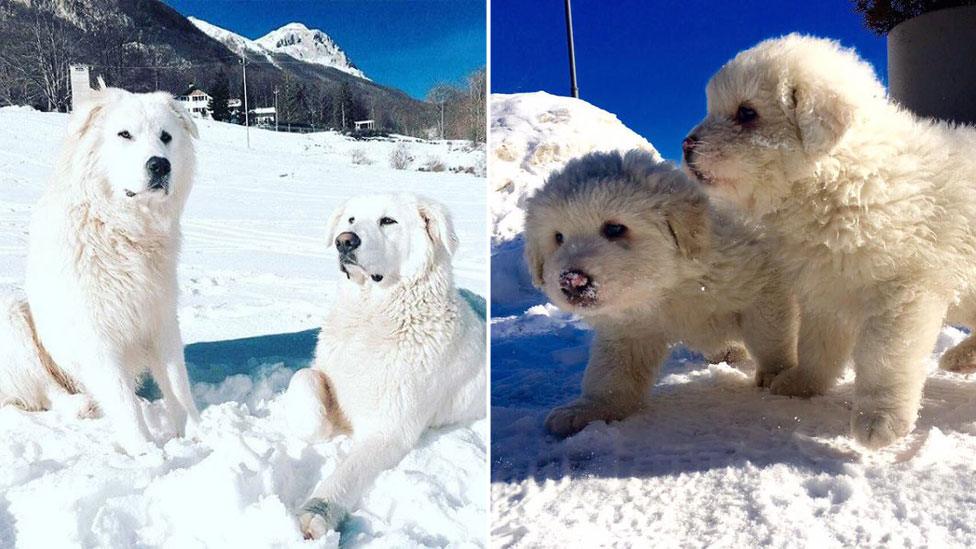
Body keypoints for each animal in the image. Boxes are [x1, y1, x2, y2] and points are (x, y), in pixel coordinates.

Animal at [0, 84, 201, 454]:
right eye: (124, 134)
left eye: (166, 137)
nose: (160, 165)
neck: (123, 230)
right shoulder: (96, 333)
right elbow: (123, 399)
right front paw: (146, 451)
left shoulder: (161, 319)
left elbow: (178, 384)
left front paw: (199, 435)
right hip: (12, 317)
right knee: (44, 391)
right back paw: (80, 405)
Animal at [528, 150, 792, 436]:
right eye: (558, 237)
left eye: (614, 228)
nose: (571, 281)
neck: (668, 289)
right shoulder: (629, 329)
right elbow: (612, 373)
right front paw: (587, 408)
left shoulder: (761, 279)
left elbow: (768, 335)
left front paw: (777, 374)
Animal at [684, 34, 976, 448]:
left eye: (747, 113)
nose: (685, 145)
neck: (842, 180)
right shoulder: (827, 288)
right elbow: (816, 346)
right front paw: (800, 383)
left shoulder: (902, 292)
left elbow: (884, 360)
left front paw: (879, 421)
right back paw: (962, 357)